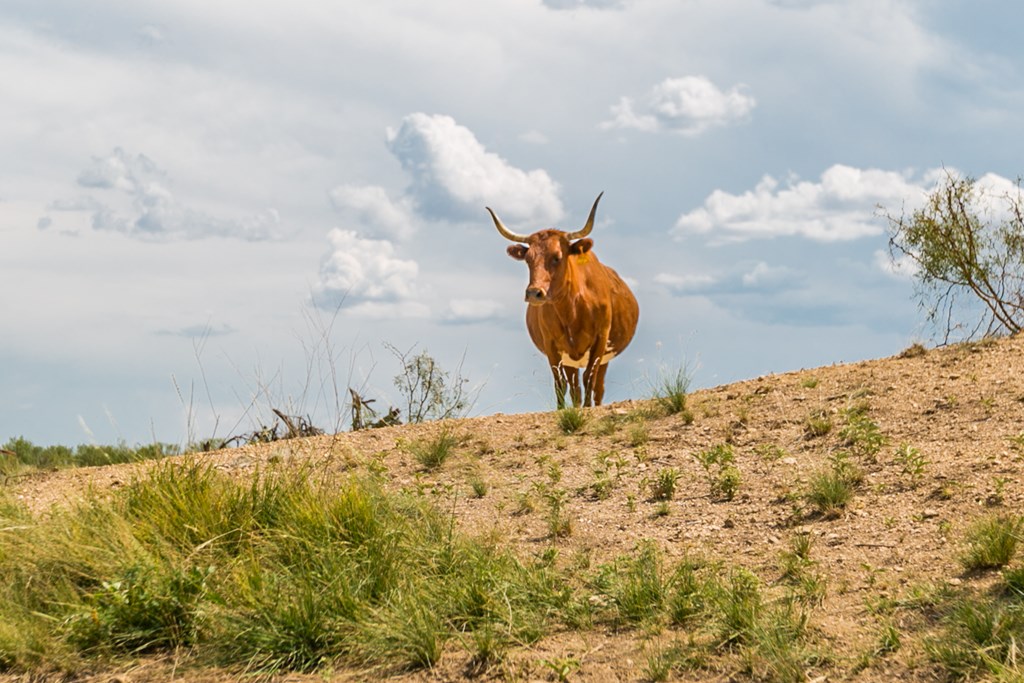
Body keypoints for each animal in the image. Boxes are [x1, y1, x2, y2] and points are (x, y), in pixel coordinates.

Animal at [487, 189, 638, 409]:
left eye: (557, 257)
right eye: (528, 259)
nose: (534, 292)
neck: (572, 310)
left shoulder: (600, 340)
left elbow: (589, 380)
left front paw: (586, 409)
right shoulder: (553, 346)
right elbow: (560, 385)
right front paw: (562, 410)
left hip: (604, 356)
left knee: (597, 387)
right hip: (570, 360)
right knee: (574, 387)